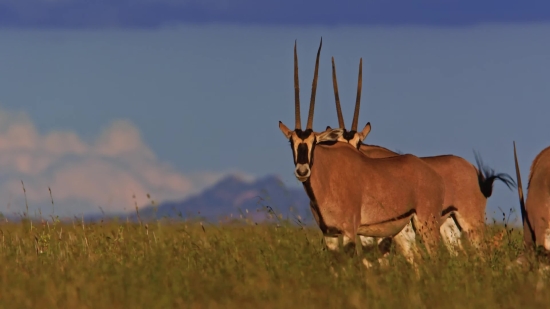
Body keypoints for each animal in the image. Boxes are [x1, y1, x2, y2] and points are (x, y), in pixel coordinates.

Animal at [280, 37, 448, 262]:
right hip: (405, 230)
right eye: (292, 142)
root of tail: (434, 175)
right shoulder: (330, 234)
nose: (302, 171)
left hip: (426, 224)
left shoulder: (350, 232)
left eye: (315, 142)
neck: (327, 174)